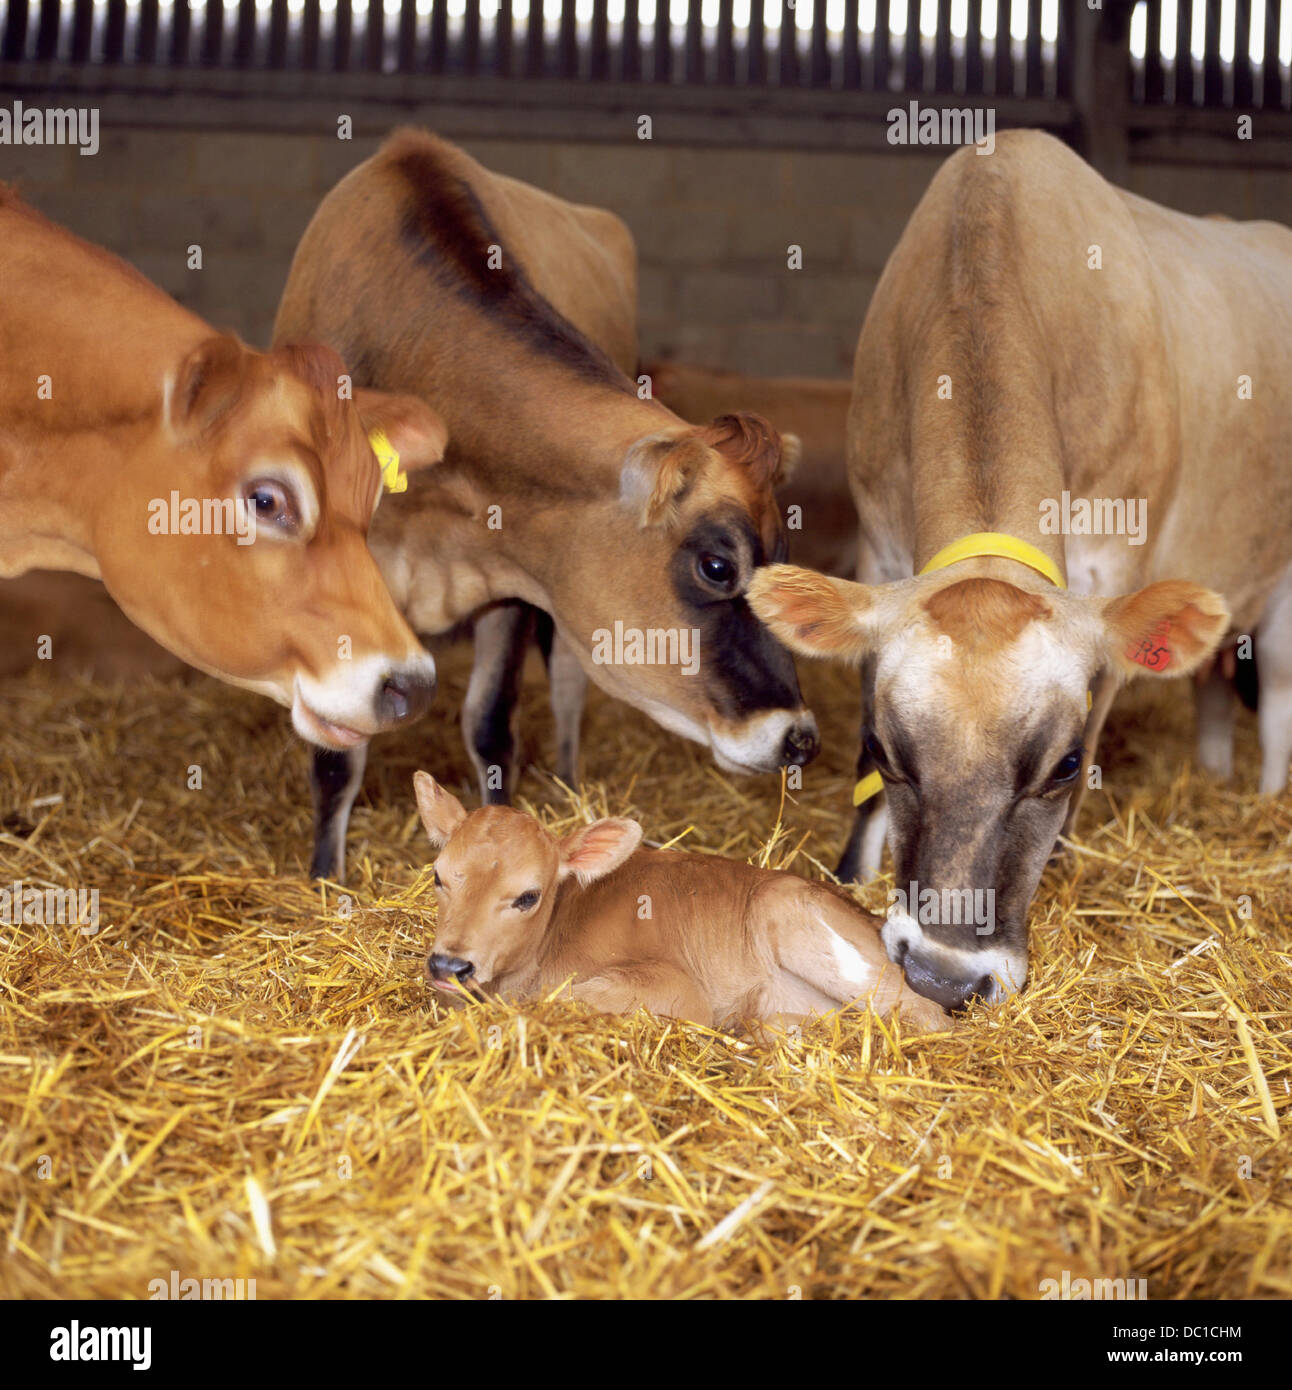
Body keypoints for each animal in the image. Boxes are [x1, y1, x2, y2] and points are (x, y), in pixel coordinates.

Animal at [274, 129, 818, 882]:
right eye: (716, 565)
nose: (801, 739)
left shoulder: (517, 580)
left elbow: (490, 723)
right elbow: (335, 753)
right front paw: (326, 880)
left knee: (564, 686)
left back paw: (566, 782)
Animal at [413, 771, 949, 1034]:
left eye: (528, 896)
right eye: (438, 877)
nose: (449, 965)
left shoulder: (679, 987)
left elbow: (567, 998)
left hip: (797, 920)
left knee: (925, 1017)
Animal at [747, 131, 1275, 1011]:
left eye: (1060, 766)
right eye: (883, 746)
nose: (944, 975)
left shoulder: (1110, 574)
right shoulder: (879, 540)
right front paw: (853, 872)